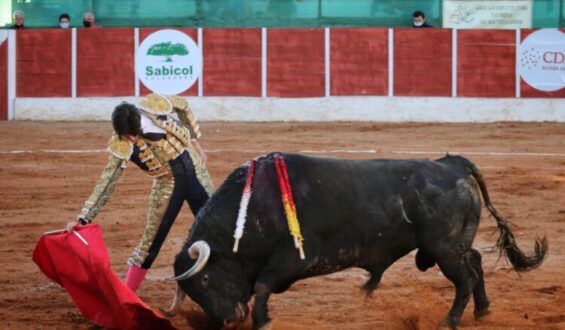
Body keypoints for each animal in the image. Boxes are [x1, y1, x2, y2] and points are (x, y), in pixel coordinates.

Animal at [169, 153, 548, 328]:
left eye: (205, 279)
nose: (227, 321)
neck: (252, 206)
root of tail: (451, 164)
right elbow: (261, 286)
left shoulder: (295, 257)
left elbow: (262, 286)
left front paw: (263, 321)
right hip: (454, 245)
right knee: (476, 263)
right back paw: (483, 311)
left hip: (444, 248)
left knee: (465, 277)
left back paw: (449, 321)